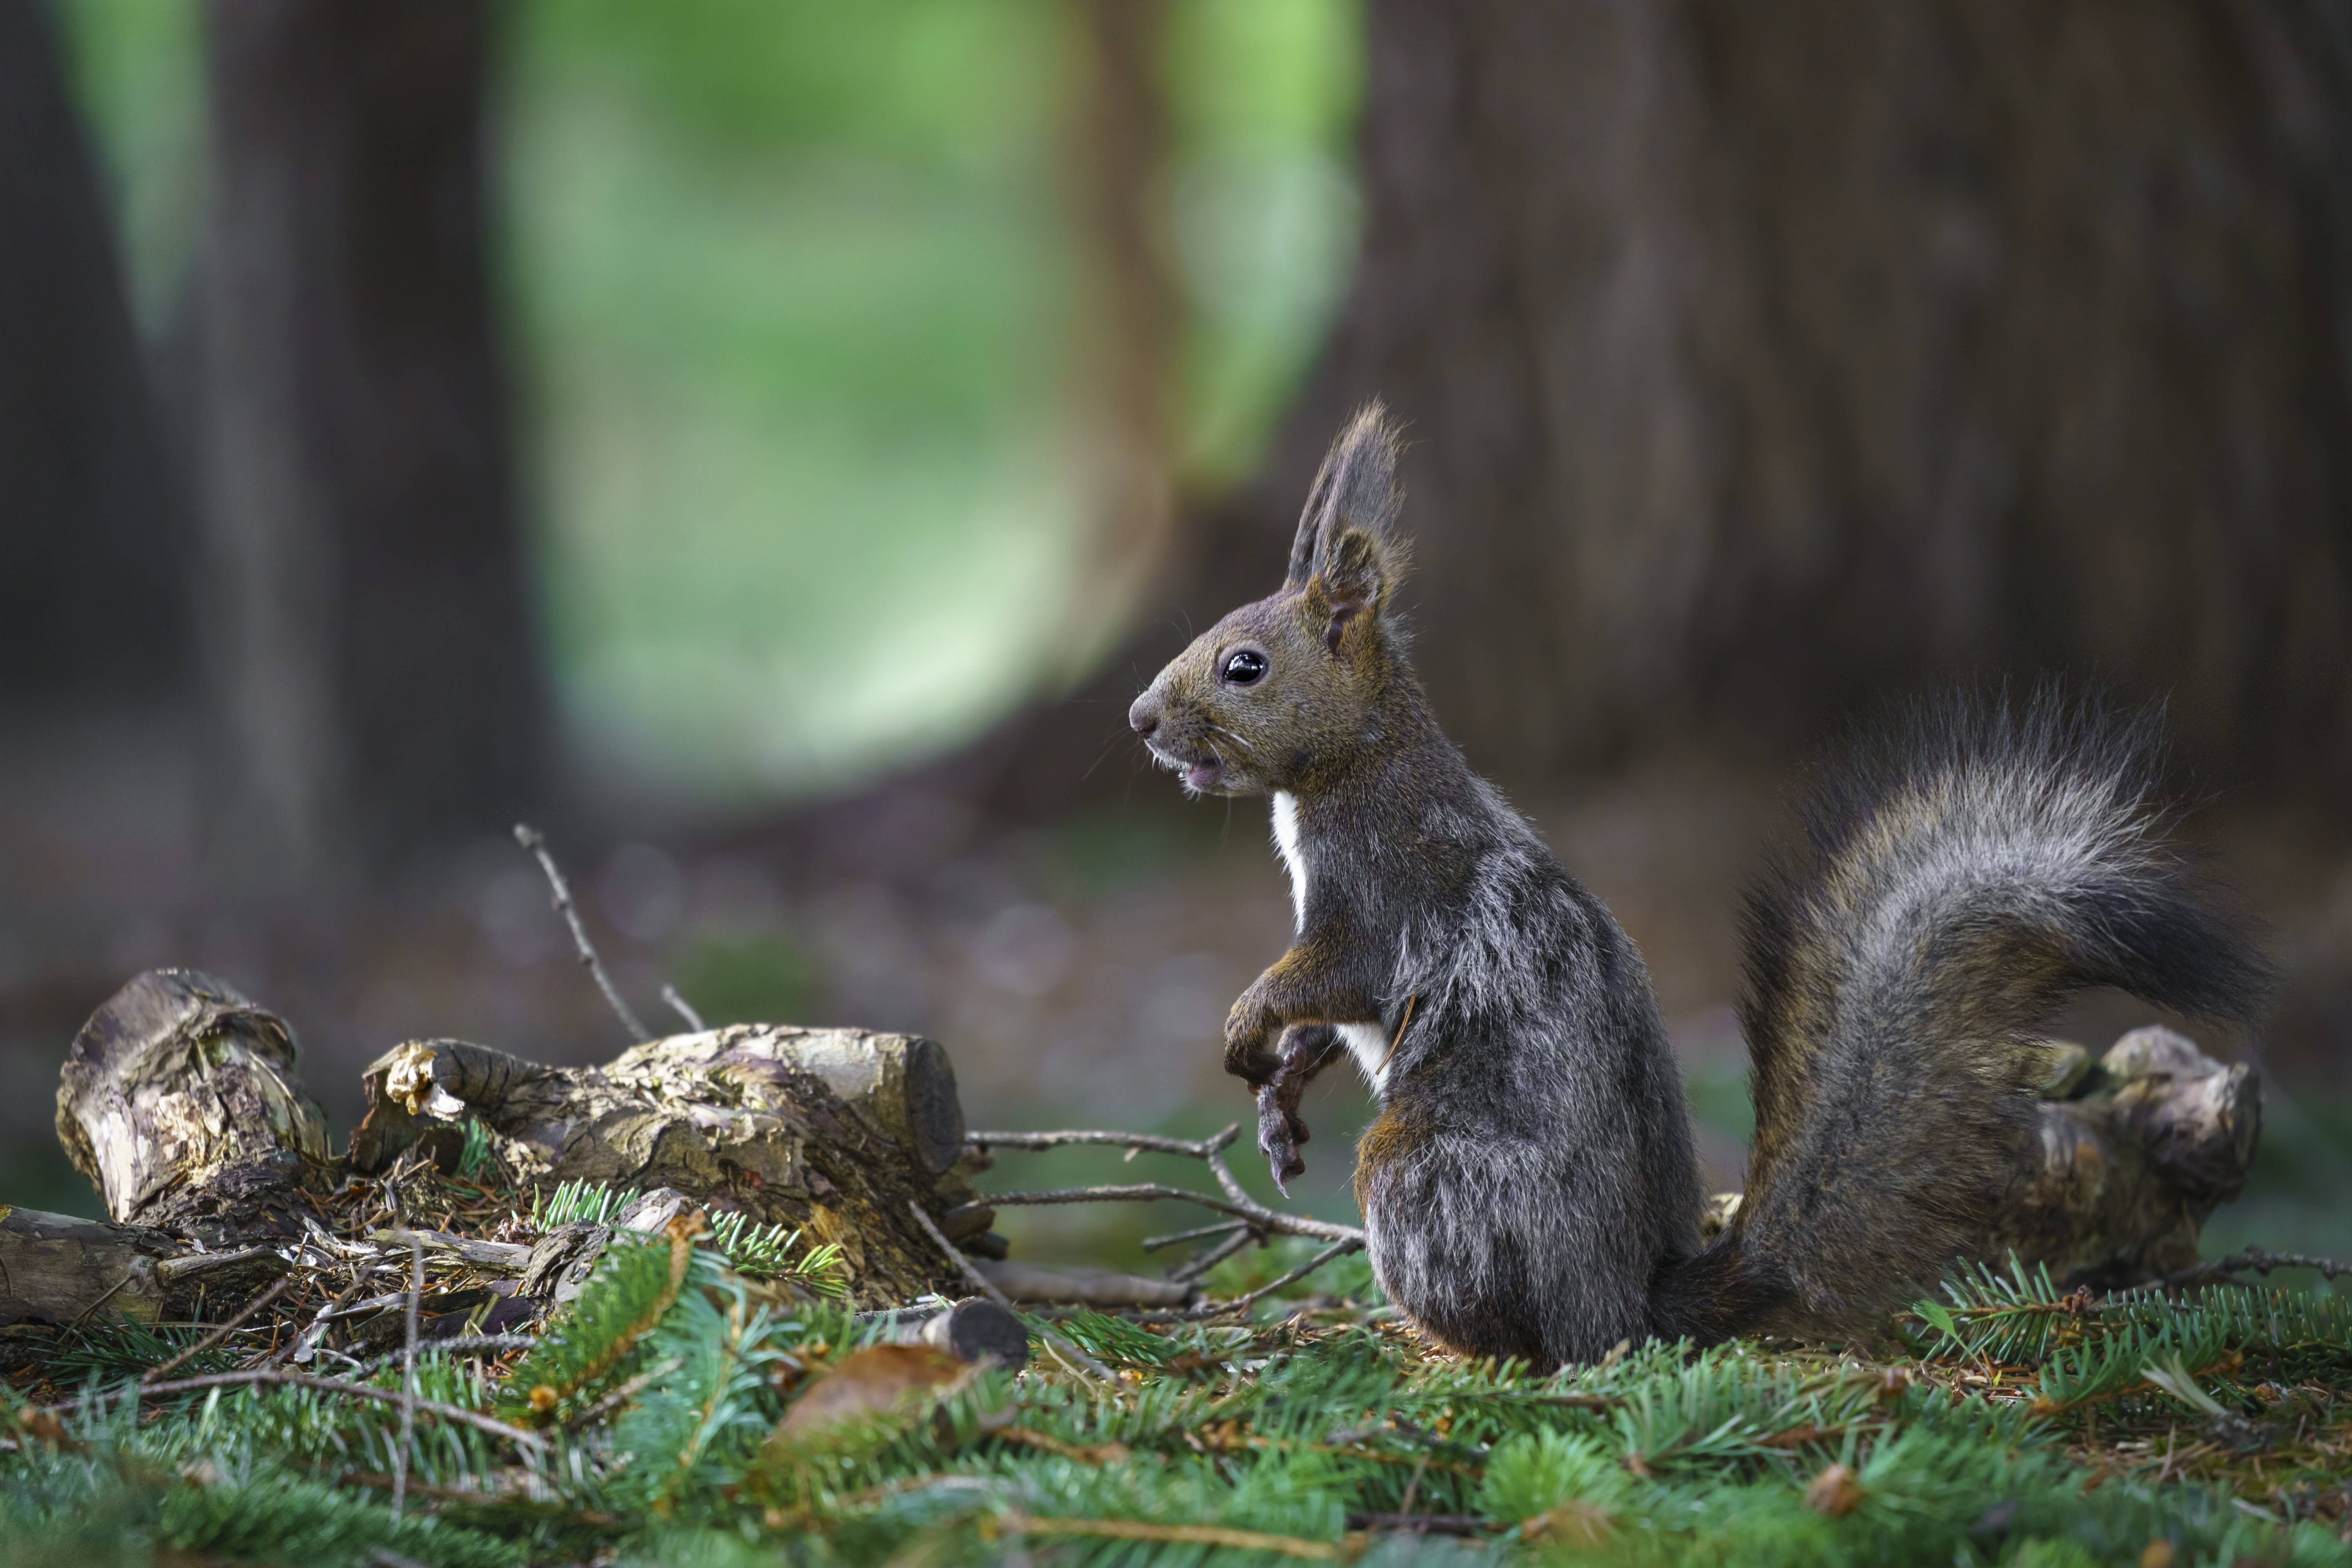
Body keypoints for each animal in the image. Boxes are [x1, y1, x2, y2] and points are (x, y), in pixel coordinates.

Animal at [1129, 409, 2267, 1373]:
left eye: (1244, 665)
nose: (1140, 719)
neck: (1356, 759)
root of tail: (1627, 1302)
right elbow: (1324, 1017)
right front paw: (1280, 1097)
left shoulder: (1383, 891)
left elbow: (1326, 976)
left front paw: (1247, 1028)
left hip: (1420, 1178)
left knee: (1540, 1338)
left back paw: (1453, 1347)